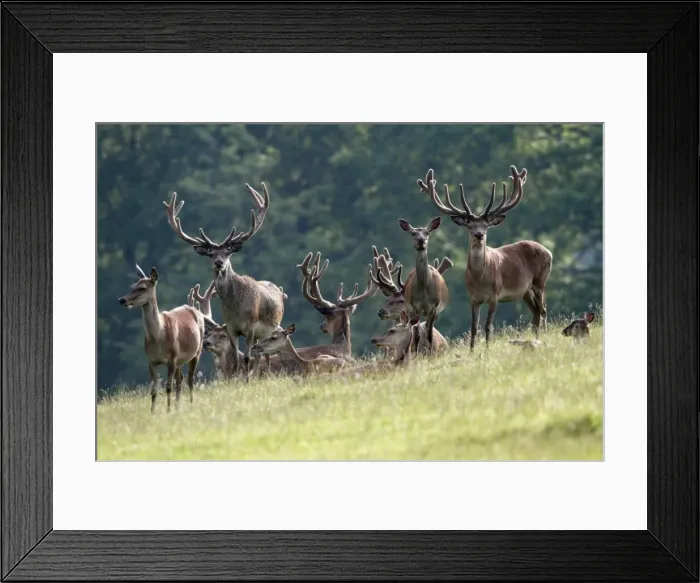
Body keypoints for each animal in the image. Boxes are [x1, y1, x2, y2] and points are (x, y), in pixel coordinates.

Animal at [118, 265, 205, 413]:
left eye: (143, 287)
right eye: (133, 285)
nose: (122, 300)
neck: (158, 337)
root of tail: (195, 310)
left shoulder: (172, 357)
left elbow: (168, 387)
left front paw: (167, 411)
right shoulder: (151, 360)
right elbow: (154, 390)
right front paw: (152, 413)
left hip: (197, 351)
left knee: (190, 379)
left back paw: (190, 404)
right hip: (180, 360)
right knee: (180, 380)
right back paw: (177, 408)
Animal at [163, 183, 286, 381]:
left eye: (228, 251)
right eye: (210, 253)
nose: (219, 262)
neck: (236, 308)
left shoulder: (250, 326)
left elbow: (246, 357)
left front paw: (246, 381)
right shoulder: (232, 328)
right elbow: (236, 357)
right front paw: (237, 380)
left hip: (270, 327)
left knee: (264, 354)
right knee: (260, 354)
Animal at [395, 216, 450, 353]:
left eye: (427, 232)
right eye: (413, 233)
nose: (421, 240)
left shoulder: (434, 307)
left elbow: (429, 335)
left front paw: (430, 353)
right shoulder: (414, 307)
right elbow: (416, 336)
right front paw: (415, 354)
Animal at [417, 166, 553, 351]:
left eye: (486, 225)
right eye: (469, 226)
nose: (479, 234)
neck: (480, 279)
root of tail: (549, 252)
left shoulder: (495, 294)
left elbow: (488, 325)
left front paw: (487, 350)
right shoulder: (473, 298)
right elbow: (474, 327)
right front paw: (472, 351)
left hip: (540, 281)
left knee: (543, 309)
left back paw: (543, 336)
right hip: (526, 290)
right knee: (536, 311)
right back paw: (536, 337)